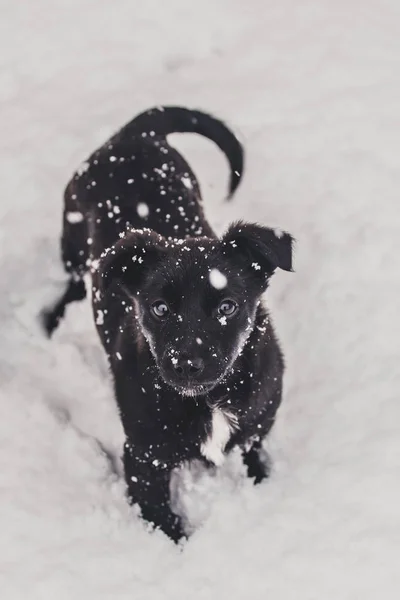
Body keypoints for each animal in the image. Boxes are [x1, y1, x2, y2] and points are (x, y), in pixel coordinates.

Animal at [44, 105, 294, 540]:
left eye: (227, 306)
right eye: (159, 309)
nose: (187, 363)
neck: (209, 400)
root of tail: (134, 135)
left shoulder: (257, 426)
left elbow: (255, 460)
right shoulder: (143, 458)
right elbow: (164, 521)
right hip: (72, 235)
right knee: (73, 283)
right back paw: (52, 320)